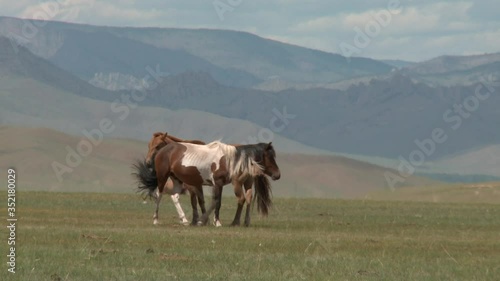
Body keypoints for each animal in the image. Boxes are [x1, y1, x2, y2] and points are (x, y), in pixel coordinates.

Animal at [133, 137, 282, 226]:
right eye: (269, 156)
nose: (278, 175)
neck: (230, 159)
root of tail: (164, 150)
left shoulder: (216, 184)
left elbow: (212, 202)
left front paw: (203, 220)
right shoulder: (216, 183)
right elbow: (215, 202)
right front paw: (215, 222)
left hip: (176, 180)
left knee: (174, 196)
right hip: (163, 177)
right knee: (159, 195)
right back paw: (155, 219)